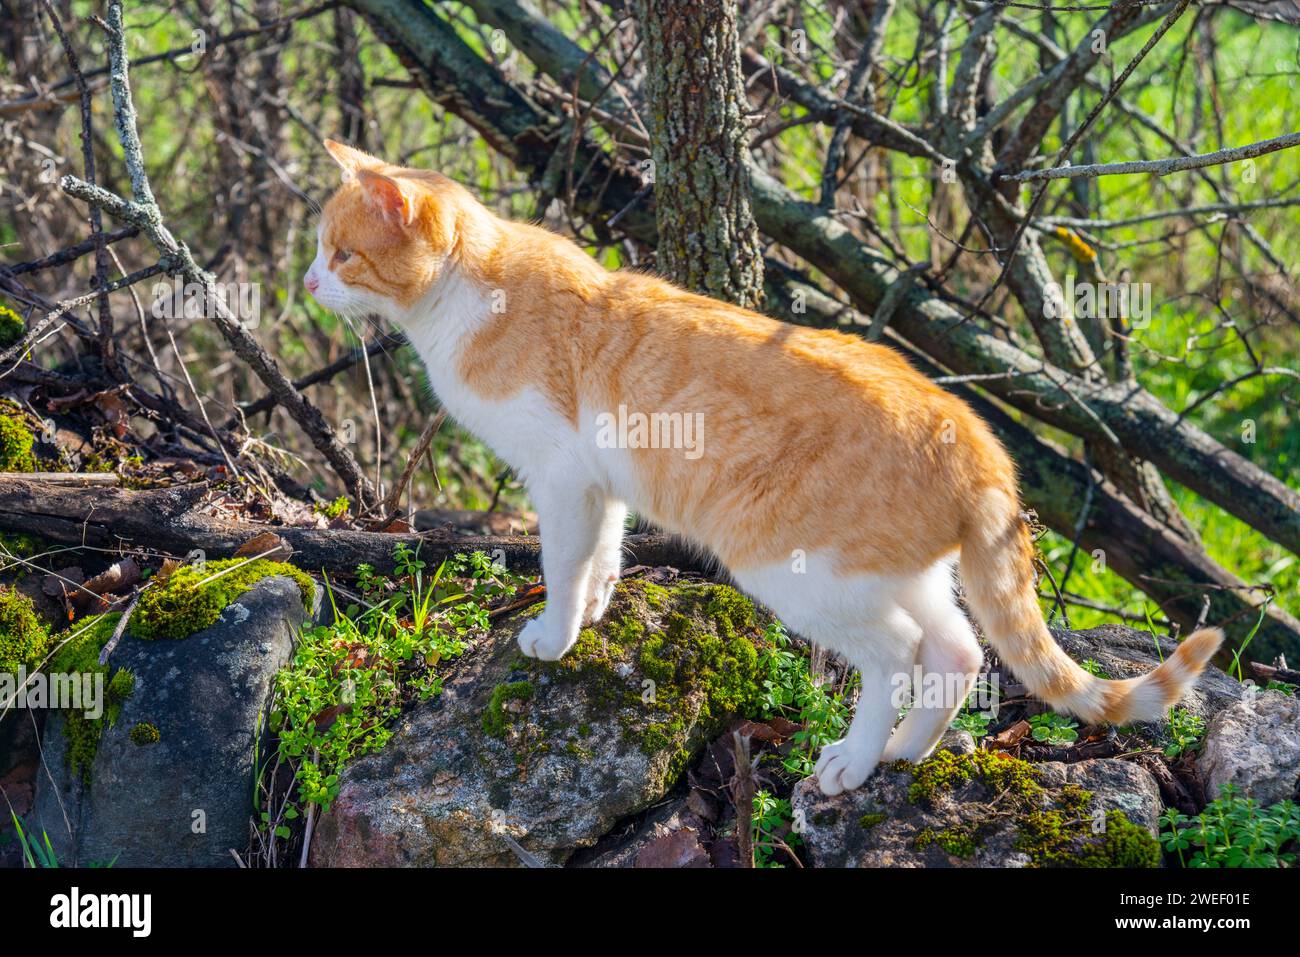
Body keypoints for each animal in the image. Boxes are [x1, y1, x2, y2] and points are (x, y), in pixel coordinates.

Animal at [301, 141, 1216, 795]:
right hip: (891, 570)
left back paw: (851, 760)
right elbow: (603, 554)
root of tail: (973, 431)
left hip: (793, 567)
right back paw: (905, 752)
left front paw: (554, 636)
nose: (308, 282)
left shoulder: (560, 477)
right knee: (957, 651)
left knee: (897, 651)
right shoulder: (600, 485)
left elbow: (561, 564)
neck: (469, 291)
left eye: (343, 254)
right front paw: (595, 608)